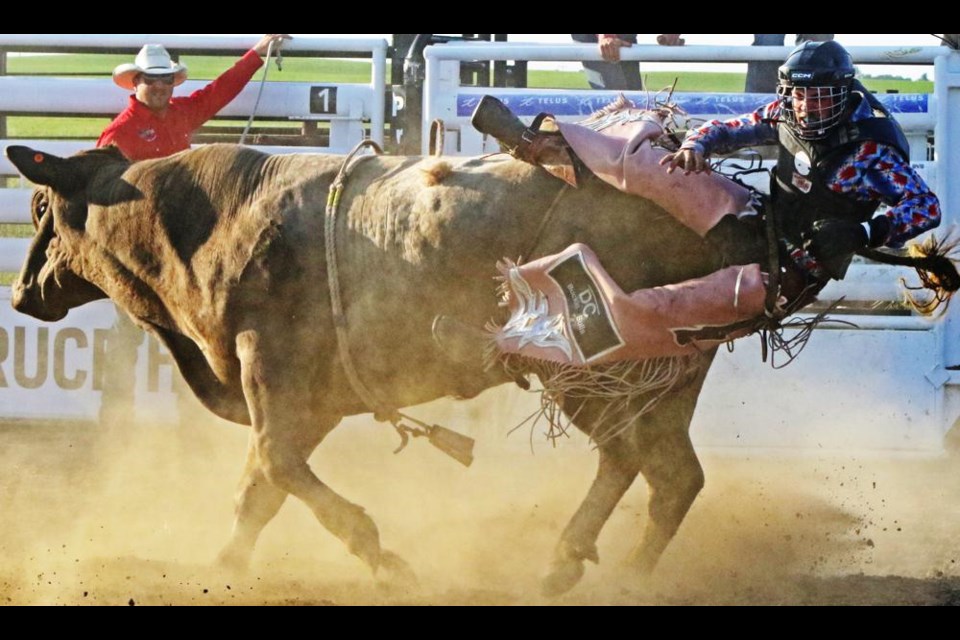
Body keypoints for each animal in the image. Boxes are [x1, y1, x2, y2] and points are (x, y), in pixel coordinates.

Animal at [5, 144, 728, 596]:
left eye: (40, 208)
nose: (19, 294)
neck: (209, 226)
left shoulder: (273, 370)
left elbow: (276, 464)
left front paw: (385, 558)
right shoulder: (314, 400)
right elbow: (260, 488)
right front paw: (223, 565)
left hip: (587, 371)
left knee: (642, 463)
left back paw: (596, 570)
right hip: (663, 380)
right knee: (668, 474)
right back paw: (595, 568)